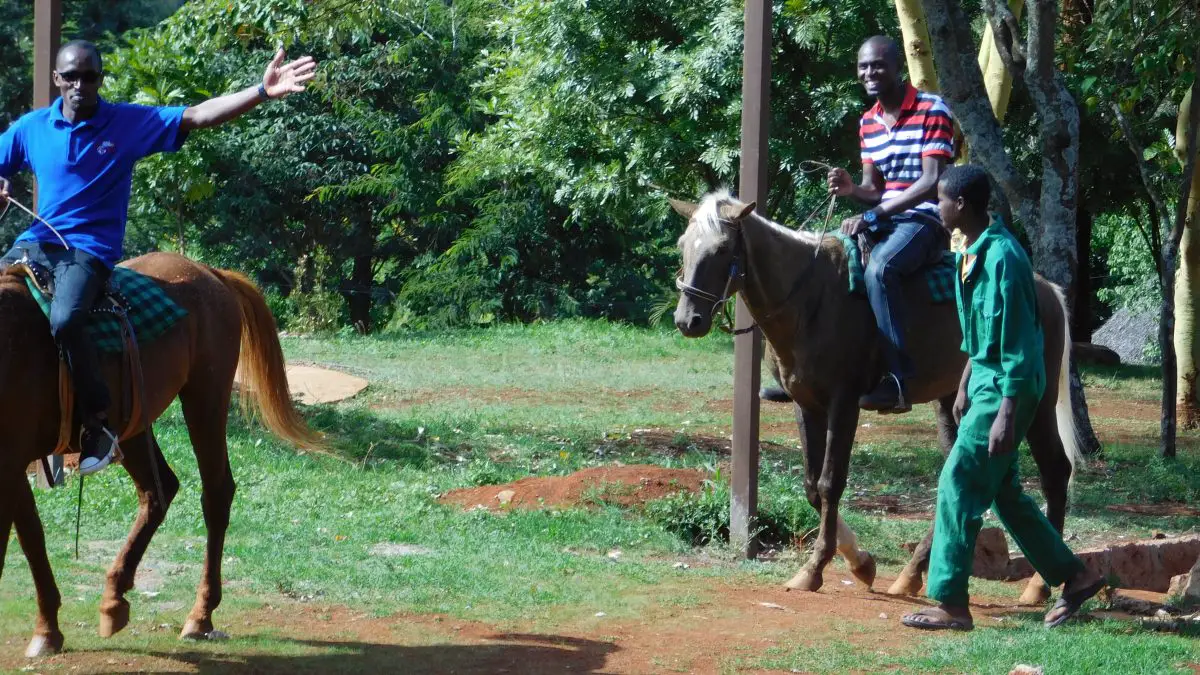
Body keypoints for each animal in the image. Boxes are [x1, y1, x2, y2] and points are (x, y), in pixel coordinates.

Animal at [0, 249, 319, 653]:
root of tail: (209, 272)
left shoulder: (8, 461)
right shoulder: (14, 464)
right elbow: (31, 536)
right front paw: (47, 631)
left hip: (205, 397)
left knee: (216, 493)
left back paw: (200, 615)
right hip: (133, 422)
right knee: (159, 489)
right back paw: (115, 597)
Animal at [672, 190, 1084, 605]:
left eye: (722, 249)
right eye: (682, 246)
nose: (687, 320)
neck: (809, 299)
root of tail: (1047, 289)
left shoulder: (844, 404)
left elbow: (830, 483)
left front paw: (816, 568)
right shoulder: (806, 405)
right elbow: (811, 486)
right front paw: (859, 562)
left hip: (1036, 403)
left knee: (1054, 471)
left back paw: (1040, 583)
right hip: (953, 400)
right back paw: (912, 574)